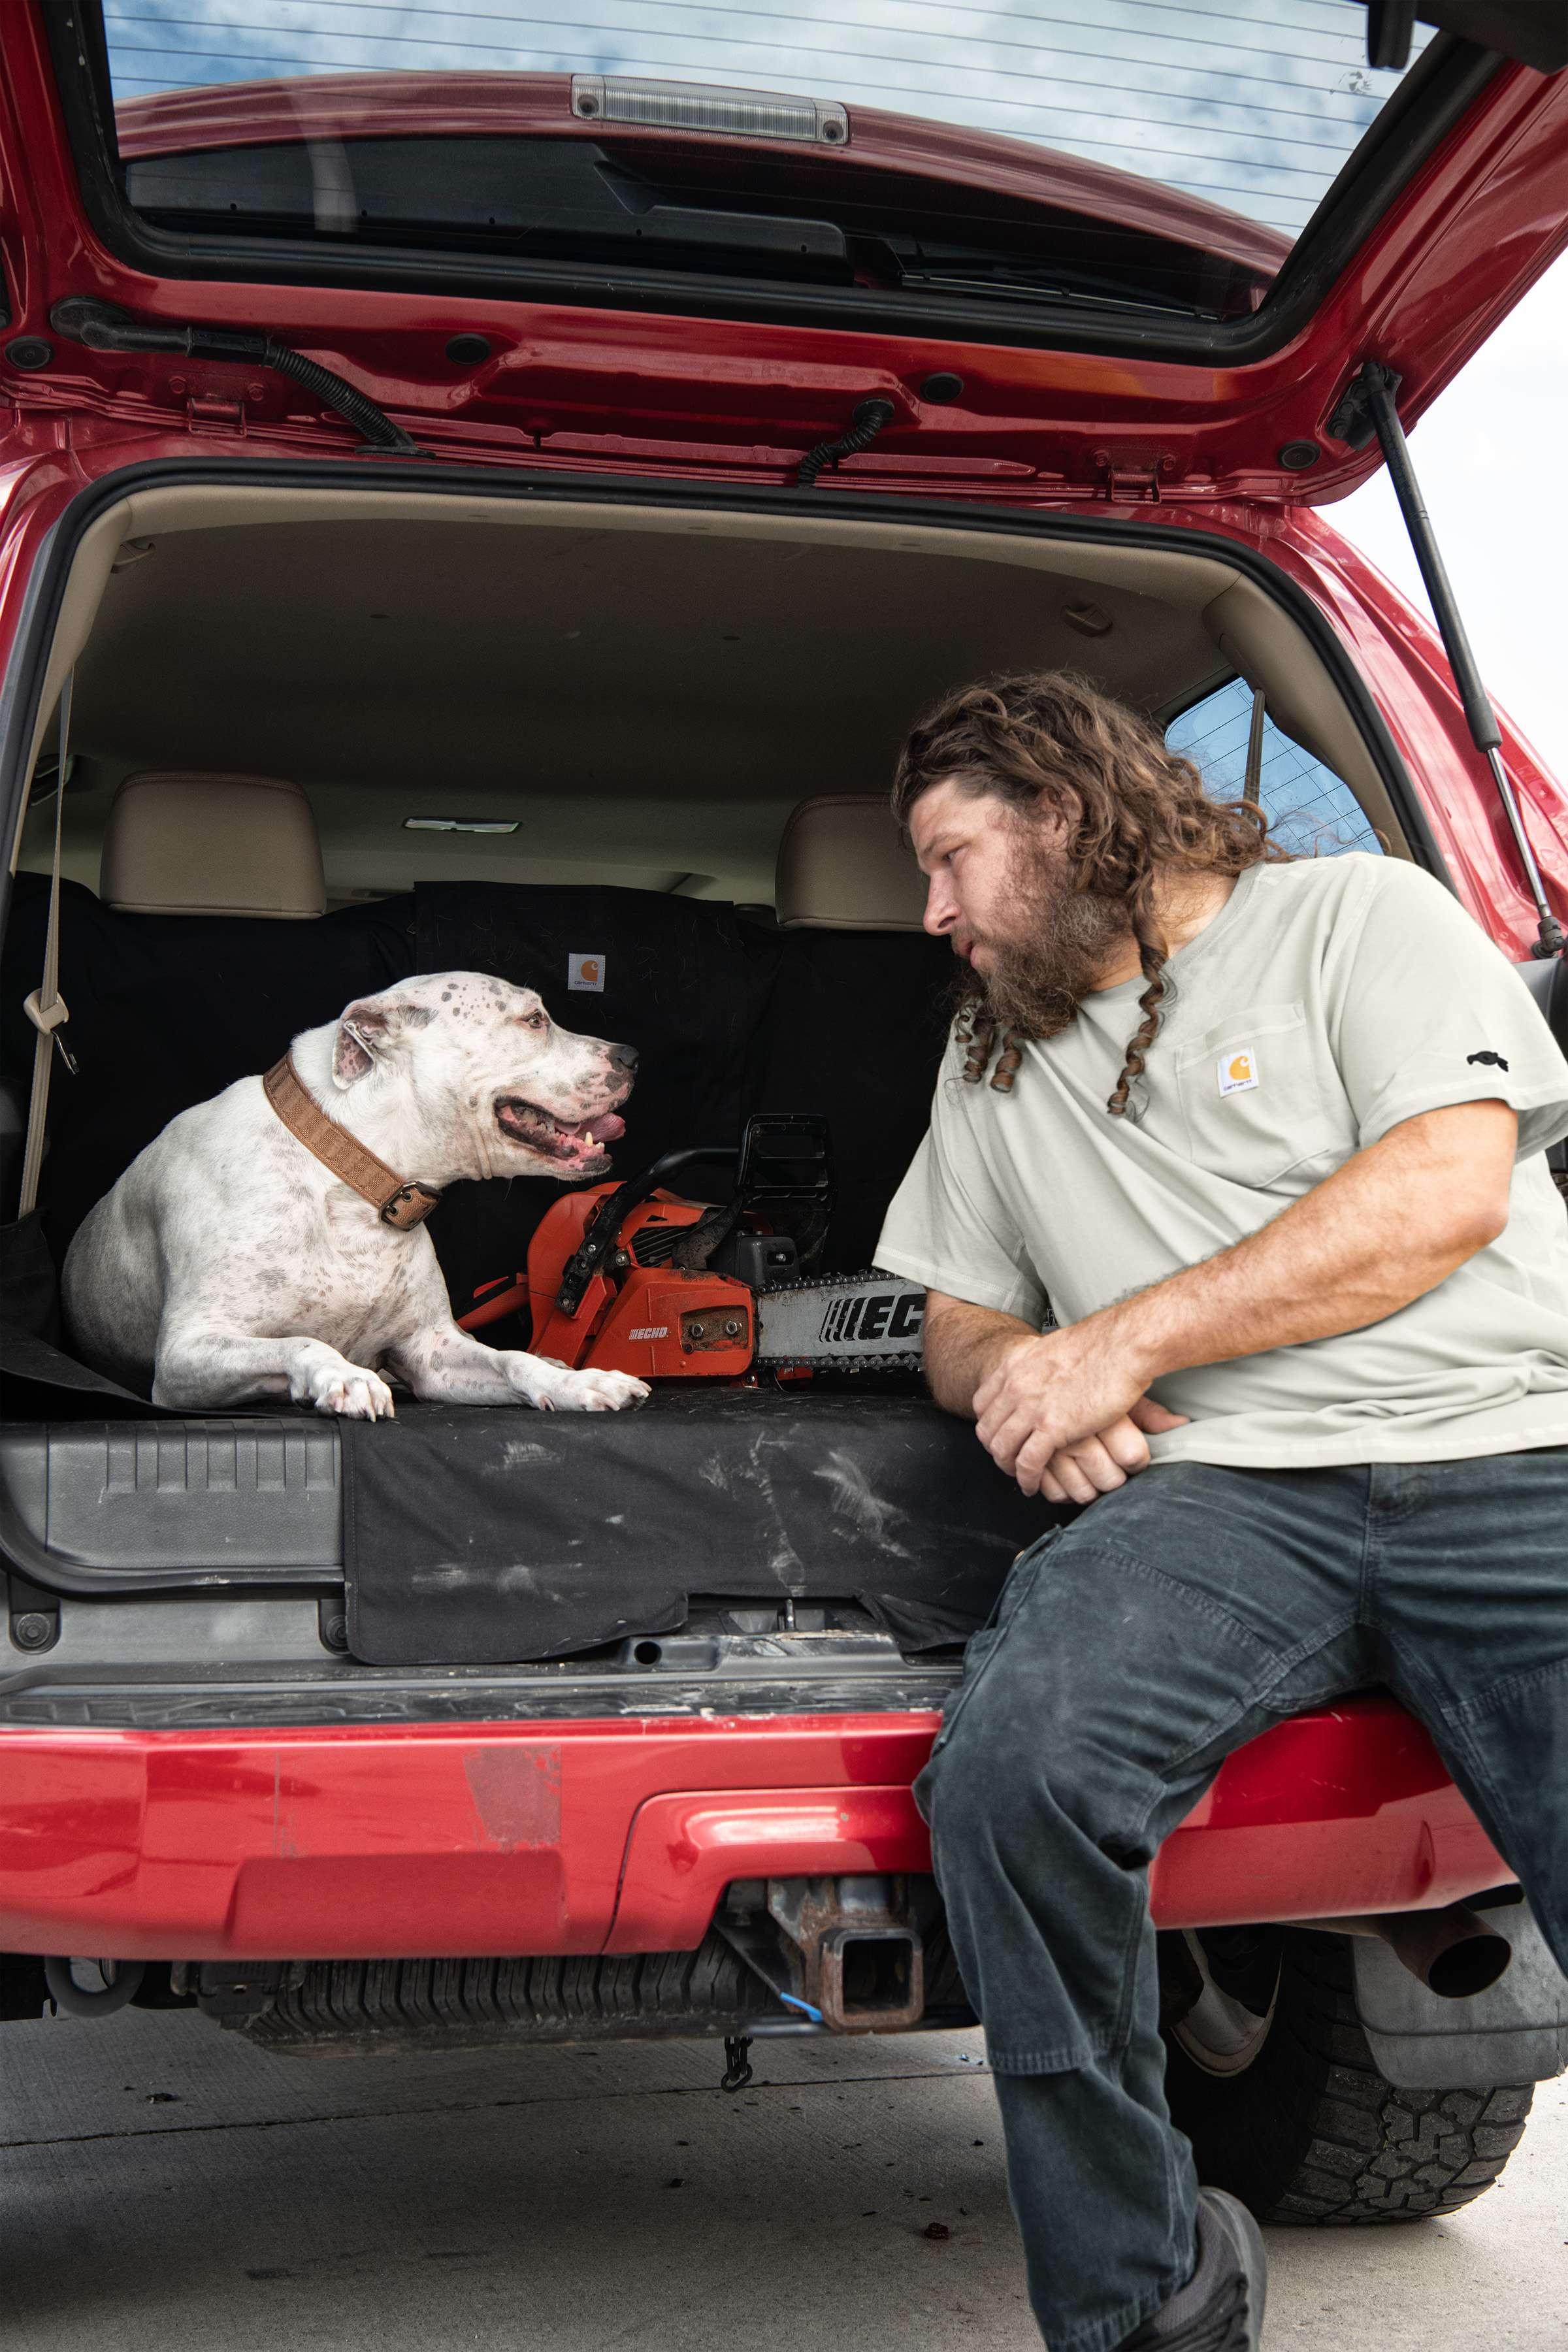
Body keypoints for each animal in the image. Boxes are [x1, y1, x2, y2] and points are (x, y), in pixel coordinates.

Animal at [63, 969, 649, 1411]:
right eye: (534, 1020)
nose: (631, 1055)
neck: (350, 1180)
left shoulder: (431, 1351)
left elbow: (512, 1359)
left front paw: (578, 1382)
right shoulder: (188, 1351)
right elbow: (303, 1340)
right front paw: (343, 1376)